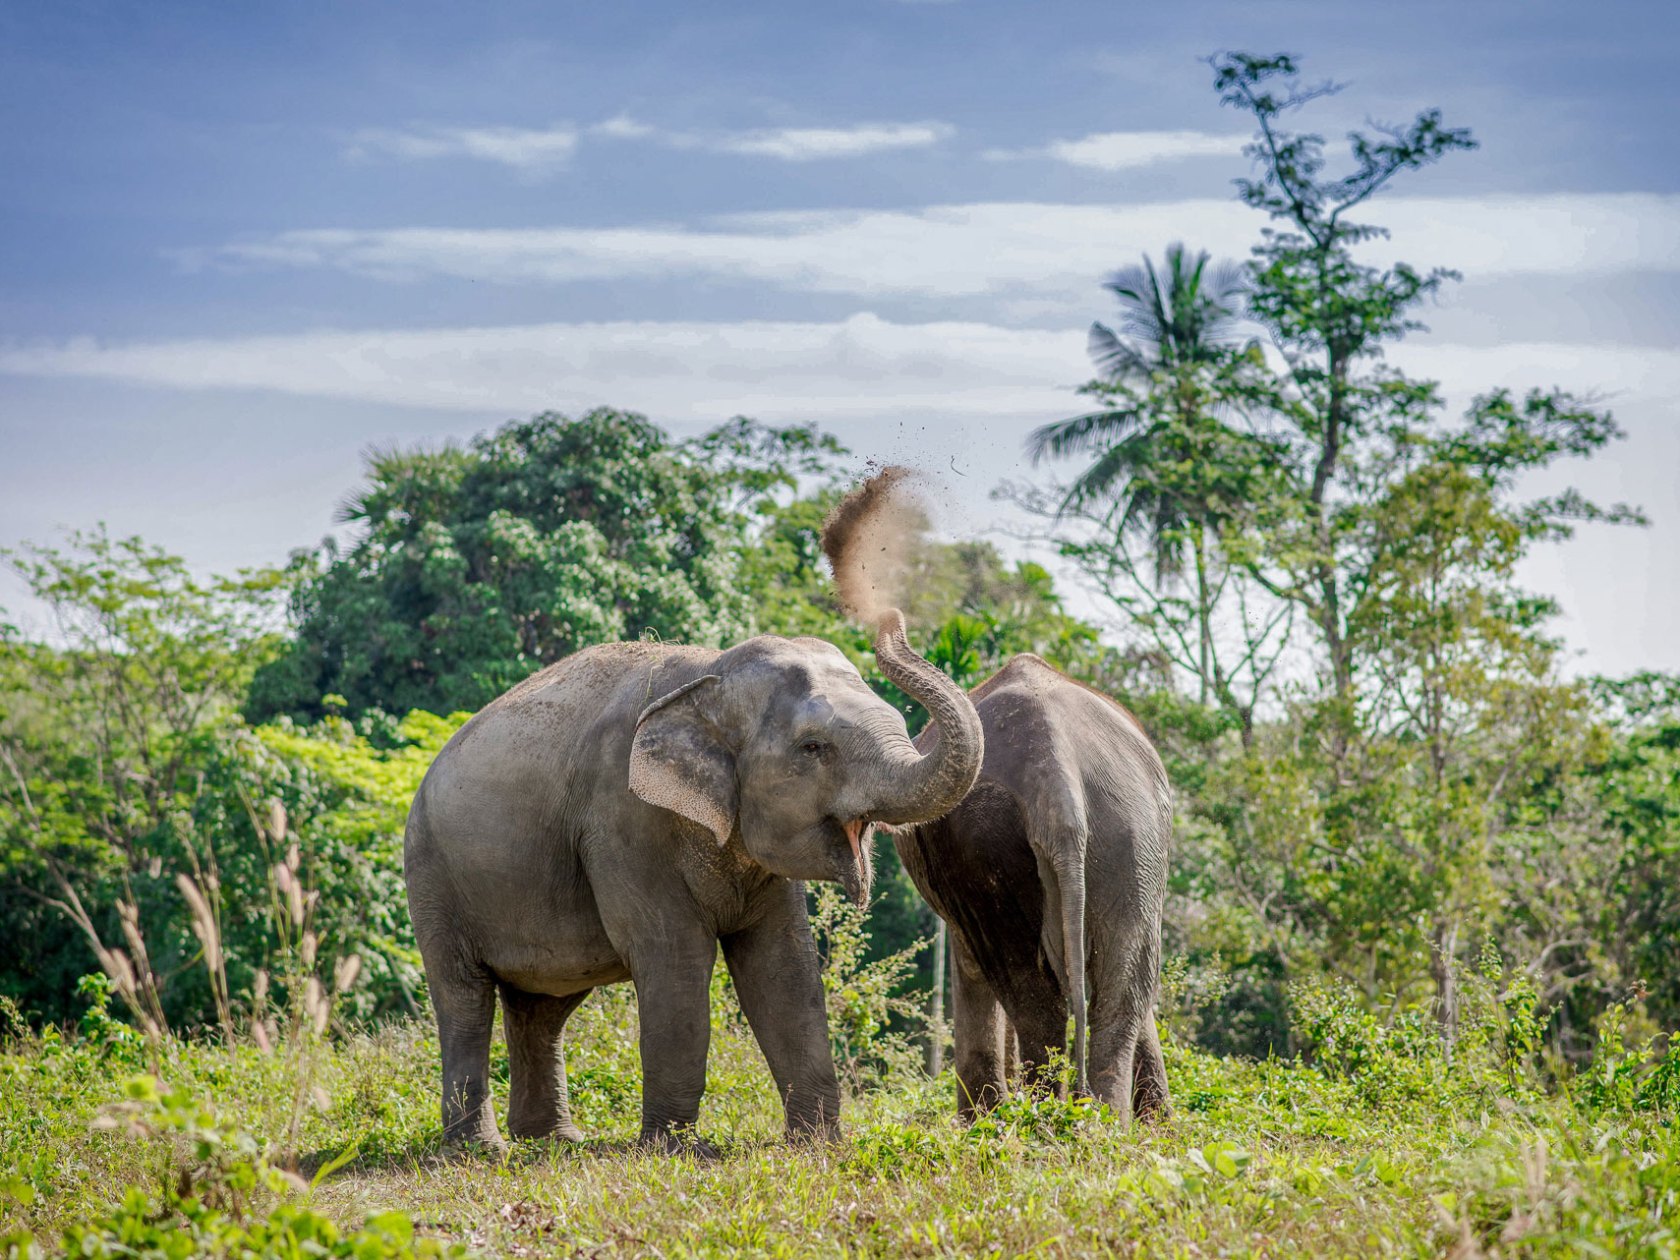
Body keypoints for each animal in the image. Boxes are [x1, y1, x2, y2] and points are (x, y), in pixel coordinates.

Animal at [403, 608, 982, 1150]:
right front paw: (676, 1151)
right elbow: (676, 955)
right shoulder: (623, 821)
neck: (709, 676)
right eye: (813, 747)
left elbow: (783, 966)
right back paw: (481, 1150)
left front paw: (818, 1143)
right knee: (465, 1000)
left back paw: (555, 1141)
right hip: (432, 879)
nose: (890, 619)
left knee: (543, 1008)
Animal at [894, 654, 1172, 1123]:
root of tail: (1055, 777)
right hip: (1131, 838)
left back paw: (1041, 1123)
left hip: (993, 843)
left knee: (1031, 993)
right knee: (1118, 992)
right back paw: (1098, 1126)